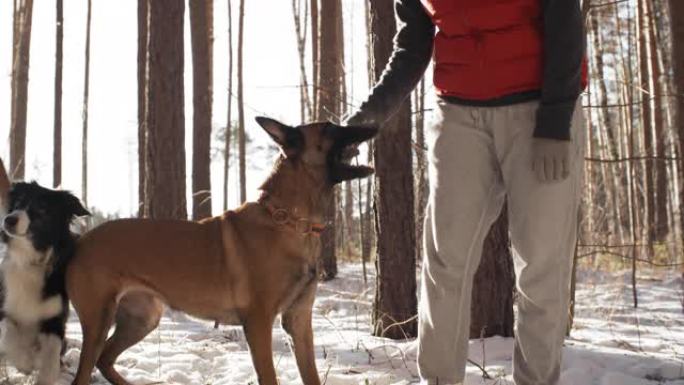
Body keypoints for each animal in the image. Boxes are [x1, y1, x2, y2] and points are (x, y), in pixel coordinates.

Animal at [0, 182, 89, 384]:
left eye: (42, 208)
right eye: (18, 203)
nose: (9, 220)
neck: (30, 260)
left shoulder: (54, 321)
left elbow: (50, 358)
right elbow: (10, 334)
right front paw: (25, 362)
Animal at [67, 118, 376, 384]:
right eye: (328, 127)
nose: (371, 124)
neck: (291, 222)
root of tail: (80, 241)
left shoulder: (299, 322)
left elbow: (311, 375)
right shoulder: (259, 323)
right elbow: (270, 377)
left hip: (143, 319)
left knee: (105, 360)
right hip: (99, 321)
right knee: (85, 371)